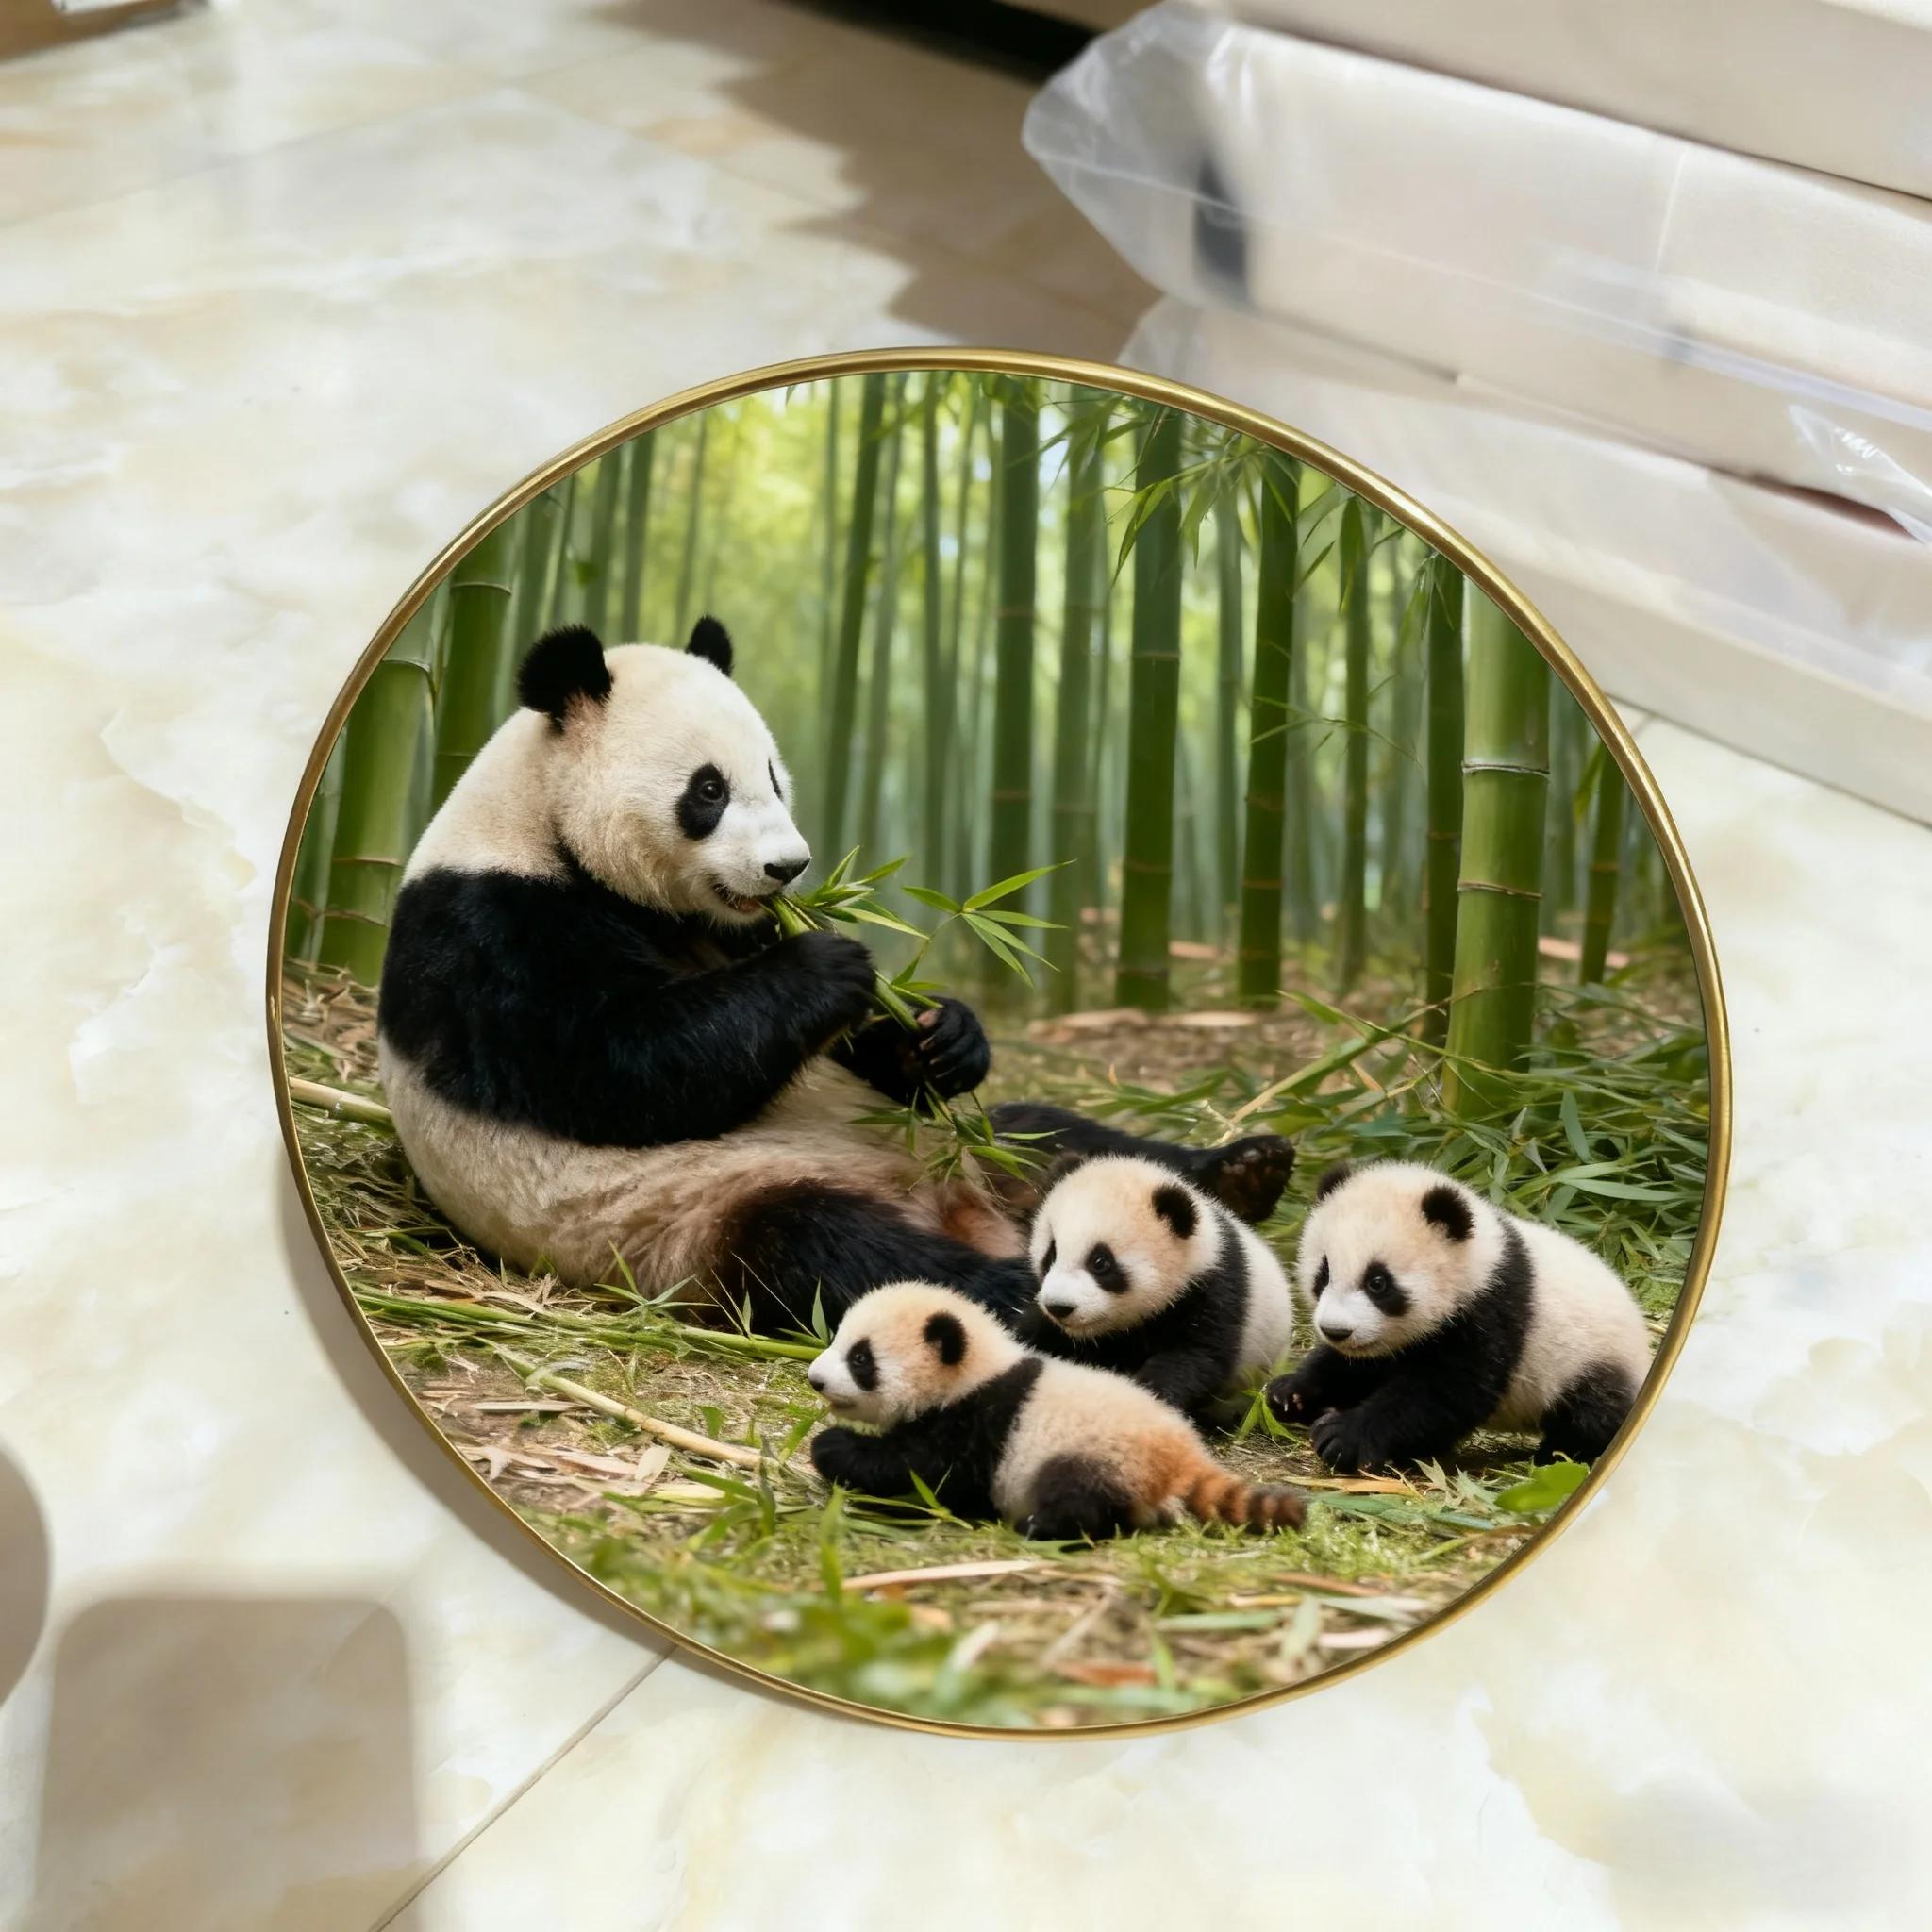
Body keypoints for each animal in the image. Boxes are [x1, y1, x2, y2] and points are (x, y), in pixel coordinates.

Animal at [376, 618, 1295, 1335]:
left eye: (775, 778)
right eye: (707, 791)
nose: (789, 868)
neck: (544, 825)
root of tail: (969, 1208)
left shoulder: (723, 925)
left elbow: (866, 1051)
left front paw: (943, 1033)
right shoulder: (488, 932)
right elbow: (616, 1069)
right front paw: (830, 965)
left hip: (972, 1145)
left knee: (1056, 1137)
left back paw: (1241, 1171)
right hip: (692, 1217)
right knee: (833, 1252)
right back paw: (1018, 1291)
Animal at [807, 1282, 1307, 1537]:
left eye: (860, 1358)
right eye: (837, 1339)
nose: (815, 1379)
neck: (977, 1368)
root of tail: (1179, 1456)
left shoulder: (982, 1416)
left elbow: (923, 1470)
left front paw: (830, 1446)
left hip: (1099, 1458)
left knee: (1077, 1497)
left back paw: (1038, 1526)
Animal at [1264, 1160, 1653, 1473]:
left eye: (1378, 1283)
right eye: (1324, 1273)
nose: (1335, 1330)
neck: (1479, 1262)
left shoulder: (1491, 1310)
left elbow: (1445, 1392)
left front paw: (1343, 1437)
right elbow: (1353, 1367)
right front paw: (1290, 1393)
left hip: (1590, 1360)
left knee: (1593, 1412)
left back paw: (1559, 1453)